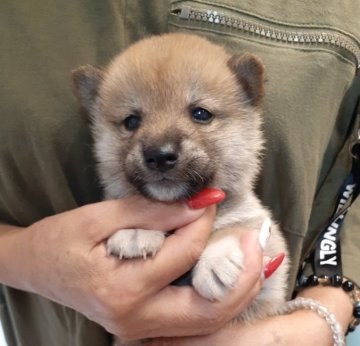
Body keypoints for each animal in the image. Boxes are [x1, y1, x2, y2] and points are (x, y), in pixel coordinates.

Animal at [73, 32, 290, 340]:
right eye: (131, 121)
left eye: (200, 114)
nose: (160, 155)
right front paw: (137, 231)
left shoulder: (269, 253)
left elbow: (236, 228)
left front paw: (216, 261)